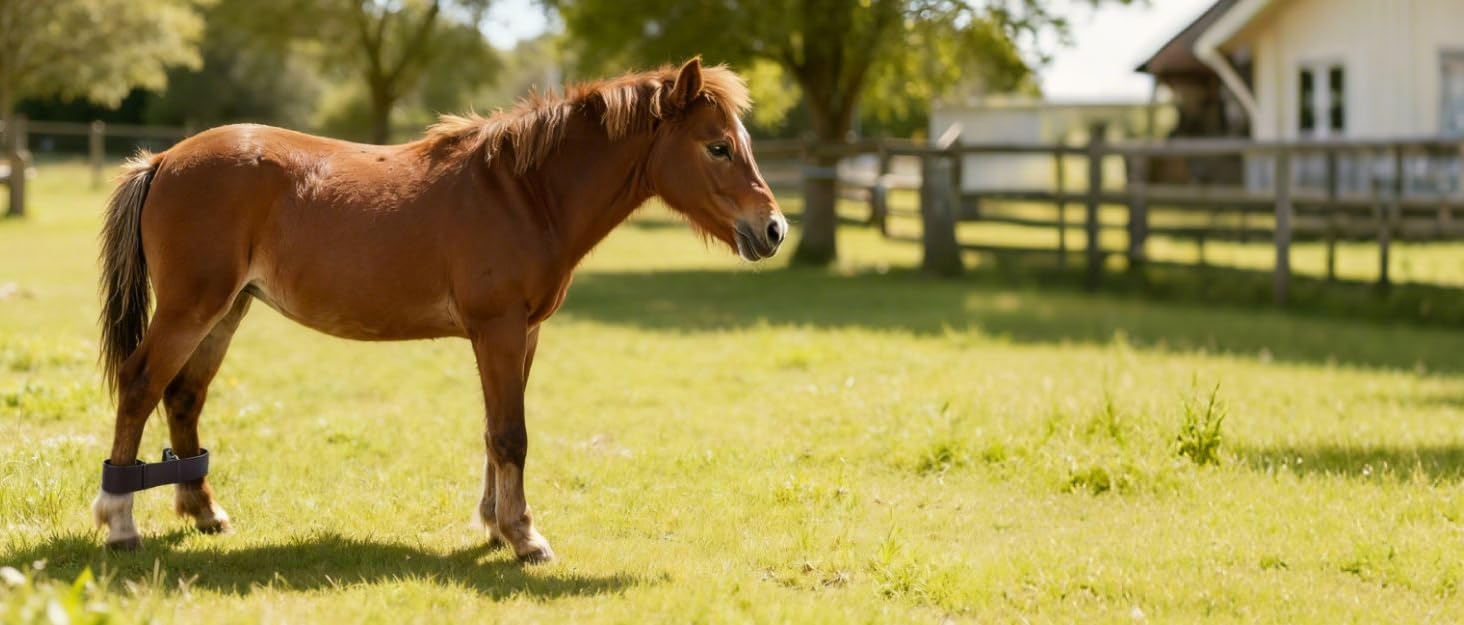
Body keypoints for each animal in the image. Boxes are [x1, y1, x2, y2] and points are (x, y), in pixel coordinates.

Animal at [92, 58, 786, 563]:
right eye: (718, 147)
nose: (773, 230)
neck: (524, 193)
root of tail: (164, 160)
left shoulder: (522, 334)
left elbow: (495, 431)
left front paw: (496, 525)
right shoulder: (498, 329)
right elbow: (511, 434)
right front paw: (525, 538)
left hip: (227, 308)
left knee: (183, 396)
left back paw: (204, 512)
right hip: (192, 308)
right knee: (140, 383)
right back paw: (120, 524)